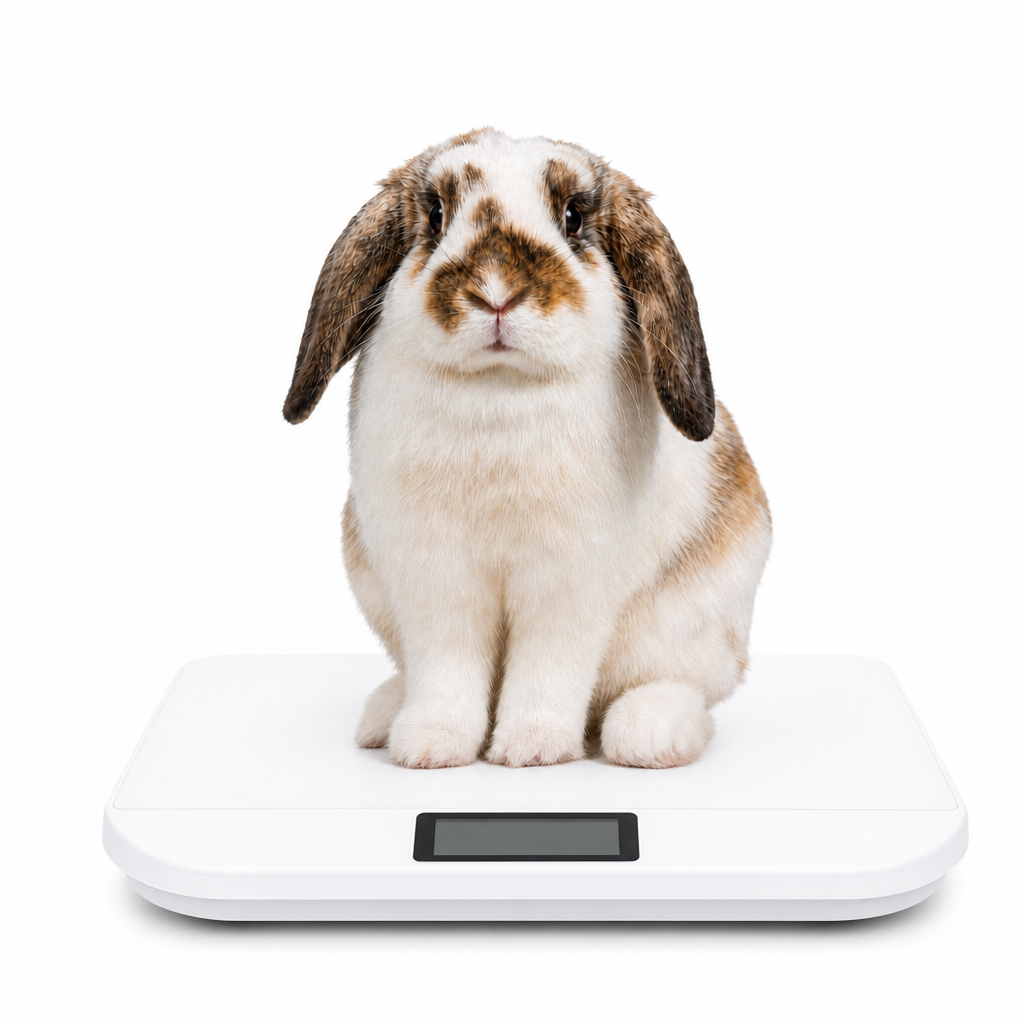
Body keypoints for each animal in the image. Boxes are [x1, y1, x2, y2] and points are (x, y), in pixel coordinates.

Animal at [283, 128, 771, 769]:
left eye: (573, 217)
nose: (496, 292)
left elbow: (548, 664)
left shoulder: (567, 580)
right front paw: (431, 746)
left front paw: (530, 749)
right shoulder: (434, 577)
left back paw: (647, 734)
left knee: (683, 685)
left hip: (698, 626)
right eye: (435, 215)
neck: (500, 390)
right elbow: (446, 664)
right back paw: (383, 716)